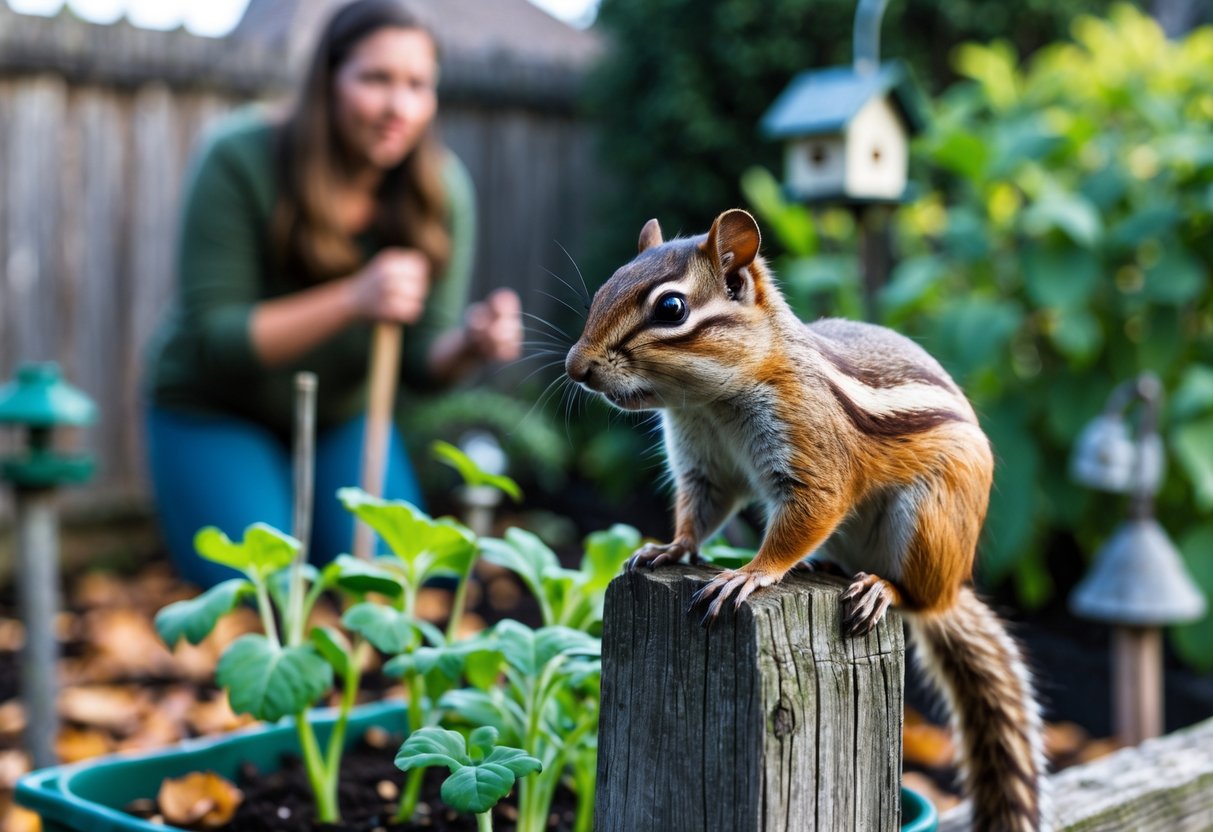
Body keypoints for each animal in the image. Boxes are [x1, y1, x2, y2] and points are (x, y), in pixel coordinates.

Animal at [565, 209, 1046, 832]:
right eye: (605, 287)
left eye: (670, 308)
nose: (575, 367)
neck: (710, 401)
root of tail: (954, 584)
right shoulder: (703, 466)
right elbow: (699, 513)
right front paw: (669, 549)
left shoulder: (811, 455)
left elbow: (804, 515)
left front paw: (750, 574)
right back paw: (824, 567)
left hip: (928, 523)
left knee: (919, 597)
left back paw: (880, 589)